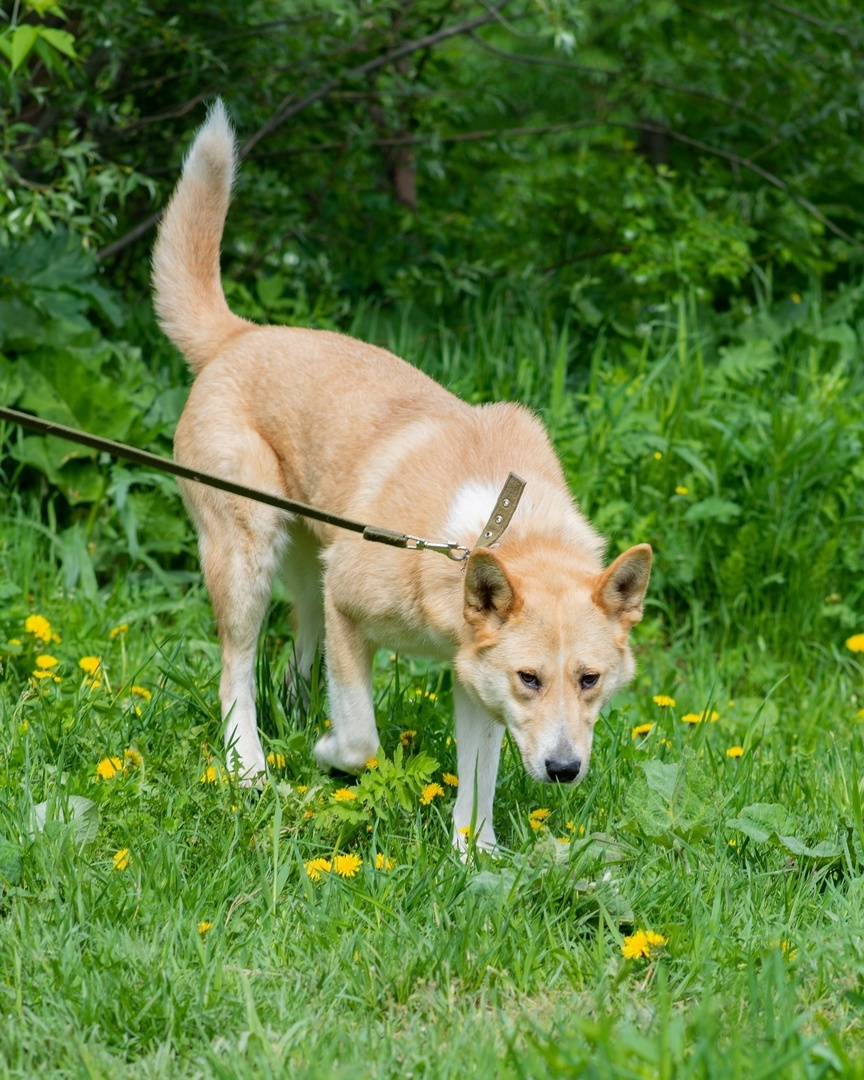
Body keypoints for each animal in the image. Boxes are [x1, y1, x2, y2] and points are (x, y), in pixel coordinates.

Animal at [152, 105, 652, 855]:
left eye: (589, 679)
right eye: (530, 678)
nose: (564, 771)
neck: (490, 529)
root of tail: (240, 336)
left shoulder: (472, 678)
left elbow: (479, 781)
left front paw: (477, 856)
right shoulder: (355, 608)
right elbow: (361, 739)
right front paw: (329, 756)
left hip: (309, 564)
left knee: (299, 648)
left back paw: (296, 715)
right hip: (248, 556)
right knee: (236, 671)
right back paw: (253, 765)